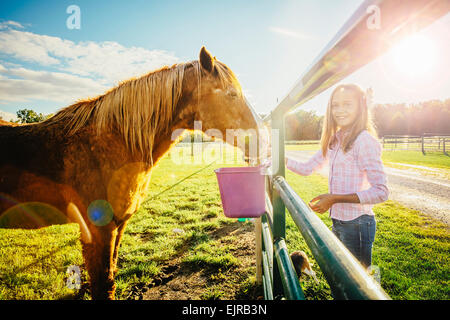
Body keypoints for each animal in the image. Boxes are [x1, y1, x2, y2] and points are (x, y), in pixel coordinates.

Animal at [0, 46, 268, 298]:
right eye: (232, 94)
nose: (264, 140)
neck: (109, 144)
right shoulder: (99, 230)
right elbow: (102, 284)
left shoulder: (117, 226)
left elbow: (109, 277)